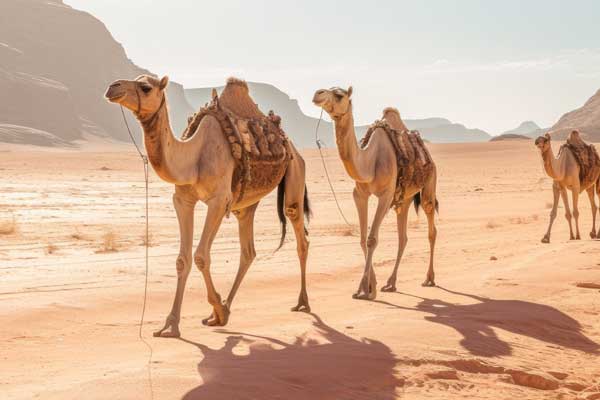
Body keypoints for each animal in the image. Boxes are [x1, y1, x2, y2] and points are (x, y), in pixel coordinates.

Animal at [105, 73, 312, 336]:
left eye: (145, 87)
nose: (113, 87)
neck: (193, 156)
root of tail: (288, 143)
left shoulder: (218, 201)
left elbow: (201, 256)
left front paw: (217, 309)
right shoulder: (183, 200)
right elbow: (182, 260)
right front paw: (171, 323)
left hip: (295, 171)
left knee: (299, 233)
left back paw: (302, 302)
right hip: (245, 205)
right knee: (248, 251)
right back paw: (225, 309)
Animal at [314, 87, 436, 300]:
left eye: (339, 95)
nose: (317, 94)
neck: (369, 163)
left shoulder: (386, 196)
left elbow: (372, 239)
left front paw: (363, 289)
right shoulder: (359, 194)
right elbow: (363, 238)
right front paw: (372, 286)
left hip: (429, 186)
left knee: (431, 229)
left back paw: (429, 278)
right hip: (404, 199)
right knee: (402, 237)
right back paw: (391, 283)